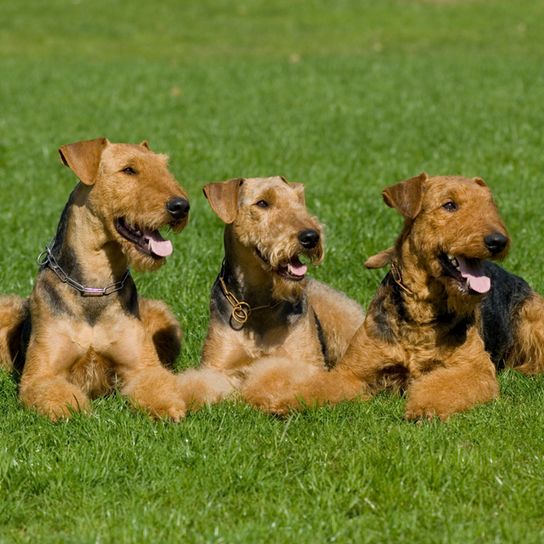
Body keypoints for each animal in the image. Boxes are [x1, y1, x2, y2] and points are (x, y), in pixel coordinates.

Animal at [181, 174, 364, 404]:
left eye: (297, 199)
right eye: (262, 203)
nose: (311, 237)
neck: (257, 304)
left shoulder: (308, 364)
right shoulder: (217, 366)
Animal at [244, 172, 544, 418]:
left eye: (489, 205)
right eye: (449, 205)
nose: (498, 241)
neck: (421, 311)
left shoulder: (475, 369)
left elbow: (445, 386)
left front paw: (424, 407)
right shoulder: (352, 372)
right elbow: (317, 386)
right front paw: (280, 401)